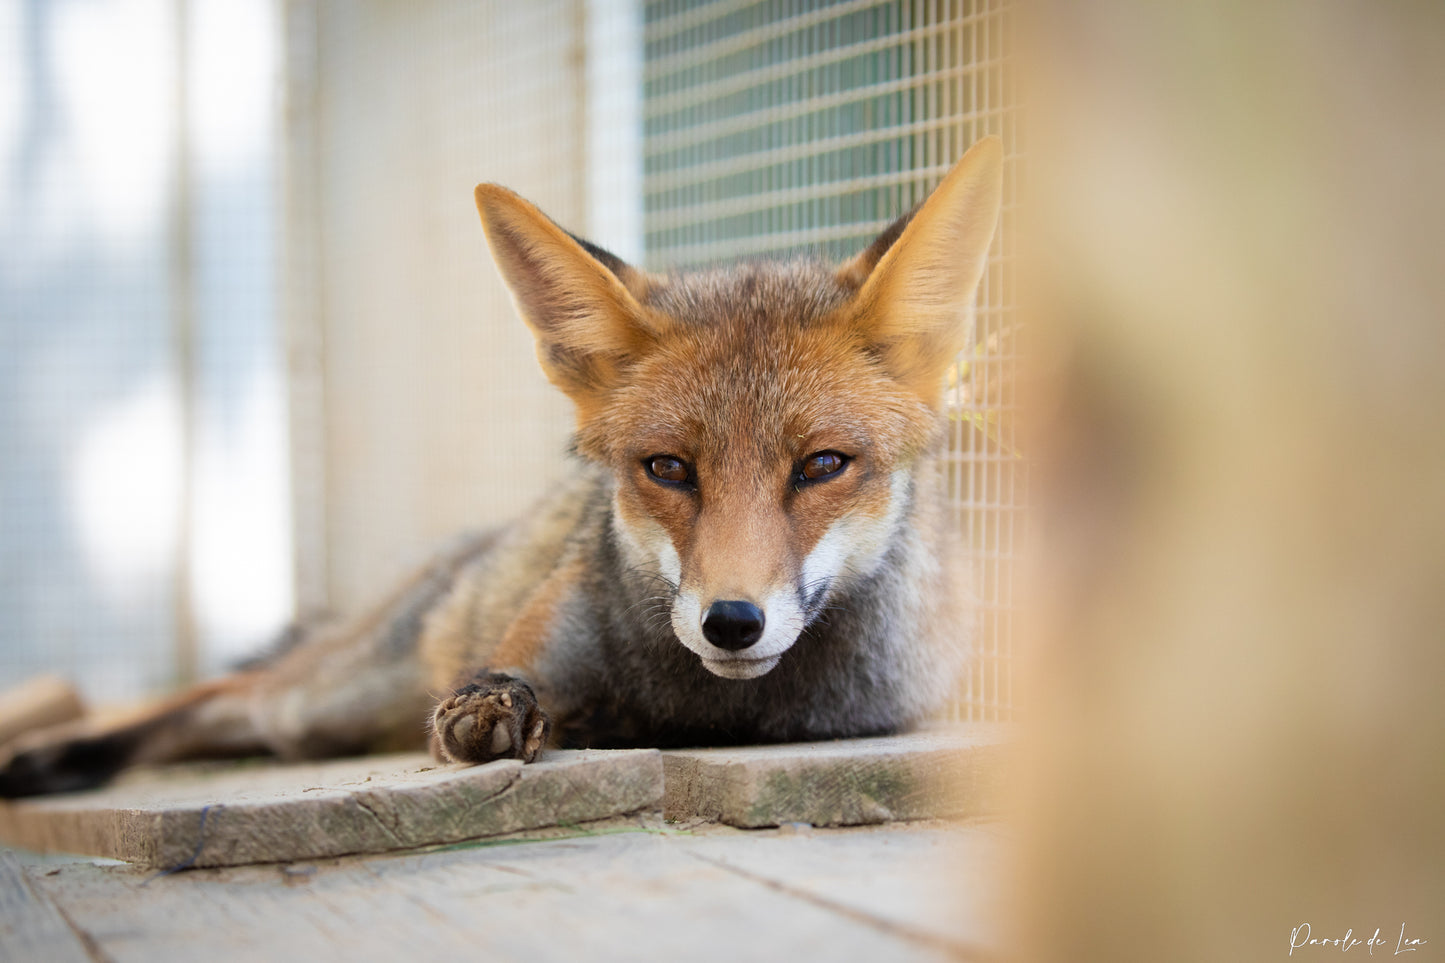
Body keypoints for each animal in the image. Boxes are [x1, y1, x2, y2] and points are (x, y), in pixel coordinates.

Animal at [0, 136, 999, 792]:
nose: (731, 622)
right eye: (668, 468)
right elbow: (499, 688)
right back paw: (50, 756)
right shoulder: (536, 650)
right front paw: (501, 710)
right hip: (321, 697)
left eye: (822, 463)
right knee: (213, 693)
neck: (719, 710)